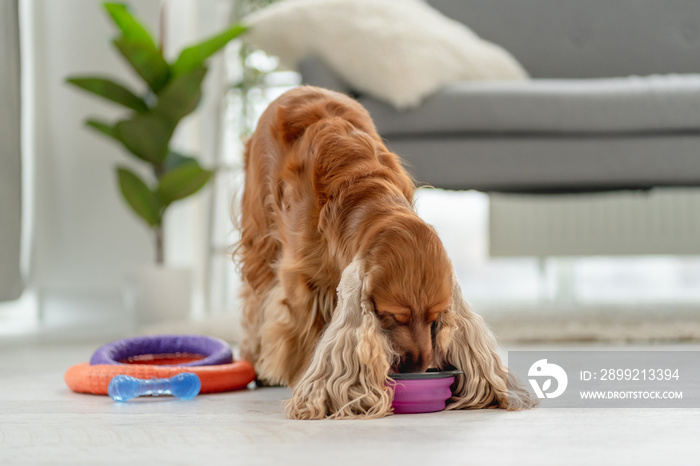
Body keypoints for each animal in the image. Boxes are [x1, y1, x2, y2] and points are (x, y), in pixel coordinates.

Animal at [232, 86, 532, 418]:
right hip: (261, 240)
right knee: (254, 302)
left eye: (435, 318)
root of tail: (298, 90)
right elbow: (299, 328)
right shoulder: (300, 279)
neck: (365, 195)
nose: (418, 369)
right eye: (393, 316)